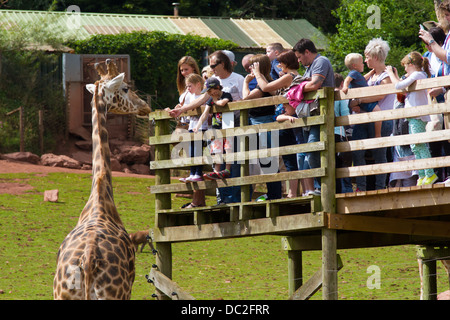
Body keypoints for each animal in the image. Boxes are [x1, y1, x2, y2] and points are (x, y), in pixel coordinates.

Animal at [52, 60, 151, 300]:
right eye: (125, 88)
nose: (145, 106)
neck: (100, 193)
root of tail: (87, 262)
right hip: (116, 294)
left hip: (61, 294)